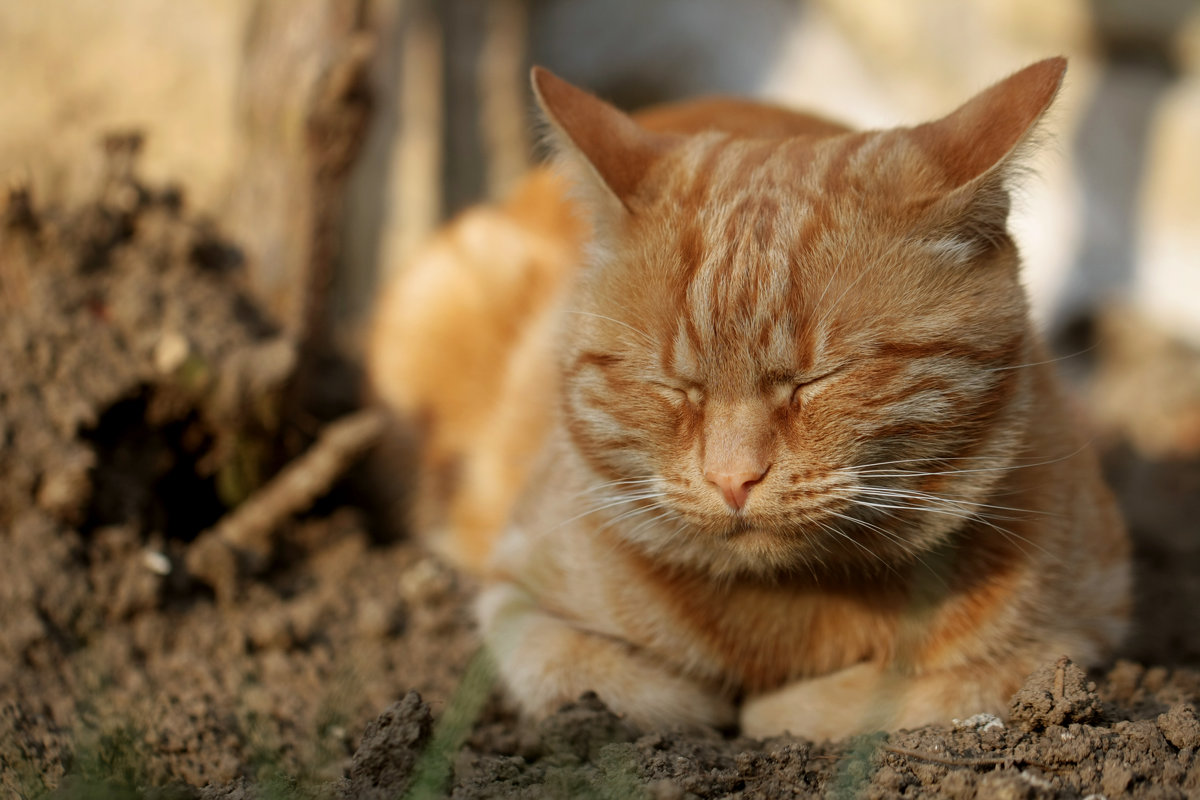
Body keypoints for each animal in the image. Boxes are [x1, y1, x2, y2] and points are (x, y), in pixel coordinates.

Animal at [362, 59, 1123, 743]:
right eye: (671, 386)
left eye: (819, 379)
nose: (733, 479)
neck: (792, 607)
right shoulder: (514, 599)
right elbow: (604, 682)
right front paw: (703, 706)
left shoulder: (1077, 637)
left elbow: (903, 695)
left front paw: (773, 713)